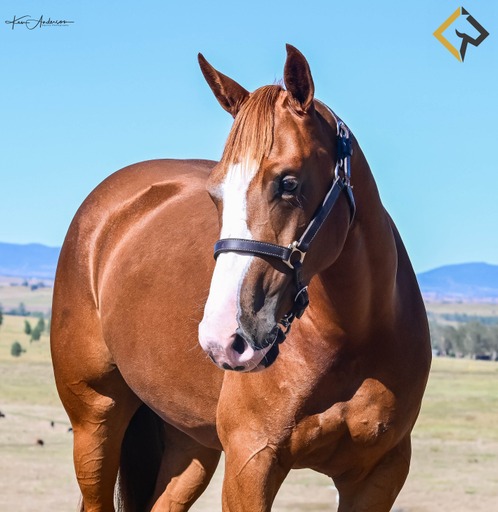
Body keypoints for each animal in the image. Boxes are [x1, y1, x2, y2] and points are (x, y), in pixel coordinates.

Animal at [51, 45, 431, 511]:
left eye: (289, 183)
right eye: (215, 193)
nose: (223, 338)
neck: (354, 336)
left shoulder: (379, 474)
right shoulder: (251, 462)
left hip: (191, 443)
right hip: (95, 420)